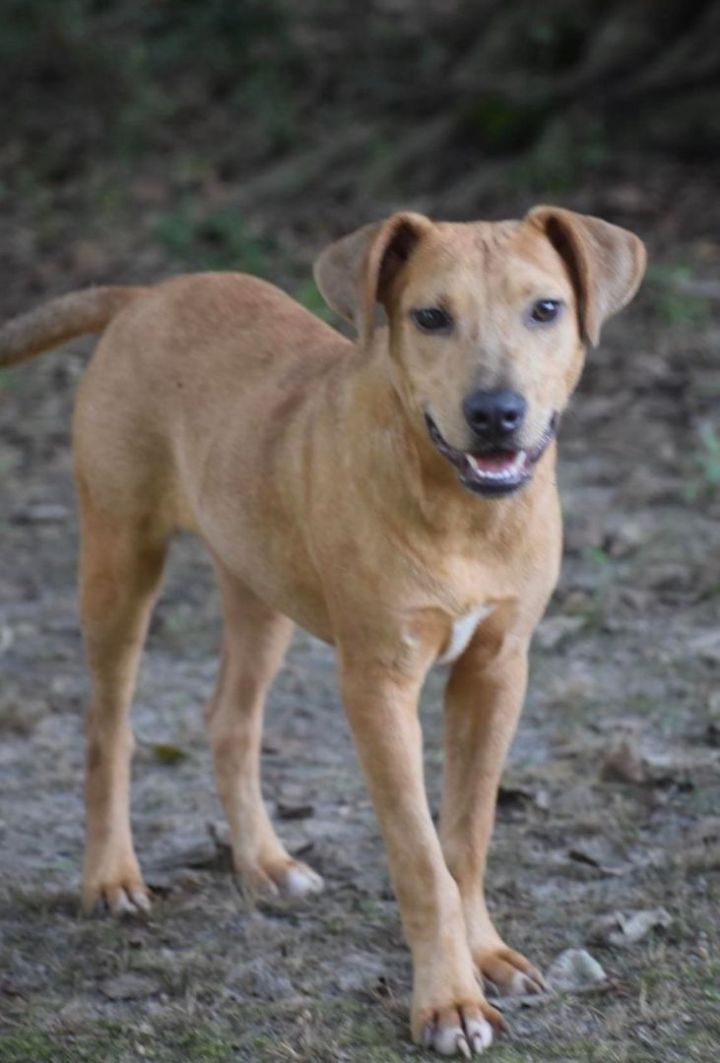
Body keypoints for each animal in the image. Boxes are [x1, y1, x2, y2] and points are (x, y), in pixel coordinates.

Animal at [1, 209, 646, 1054]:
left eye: (546, 309)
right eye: (429, 317)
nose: (496, 413)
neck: (461, 509)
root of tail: (147, 295)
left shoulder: (498, 669)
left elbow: (467, 836)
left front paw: (486, 954)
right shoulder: (379, 684)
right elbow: (420, 855)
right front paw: (448, 1000)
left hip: (258, 585)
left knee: (230, 719)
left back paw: (266, 862)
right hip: (120, 557)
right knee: (107, 725)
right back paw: (111, 875)